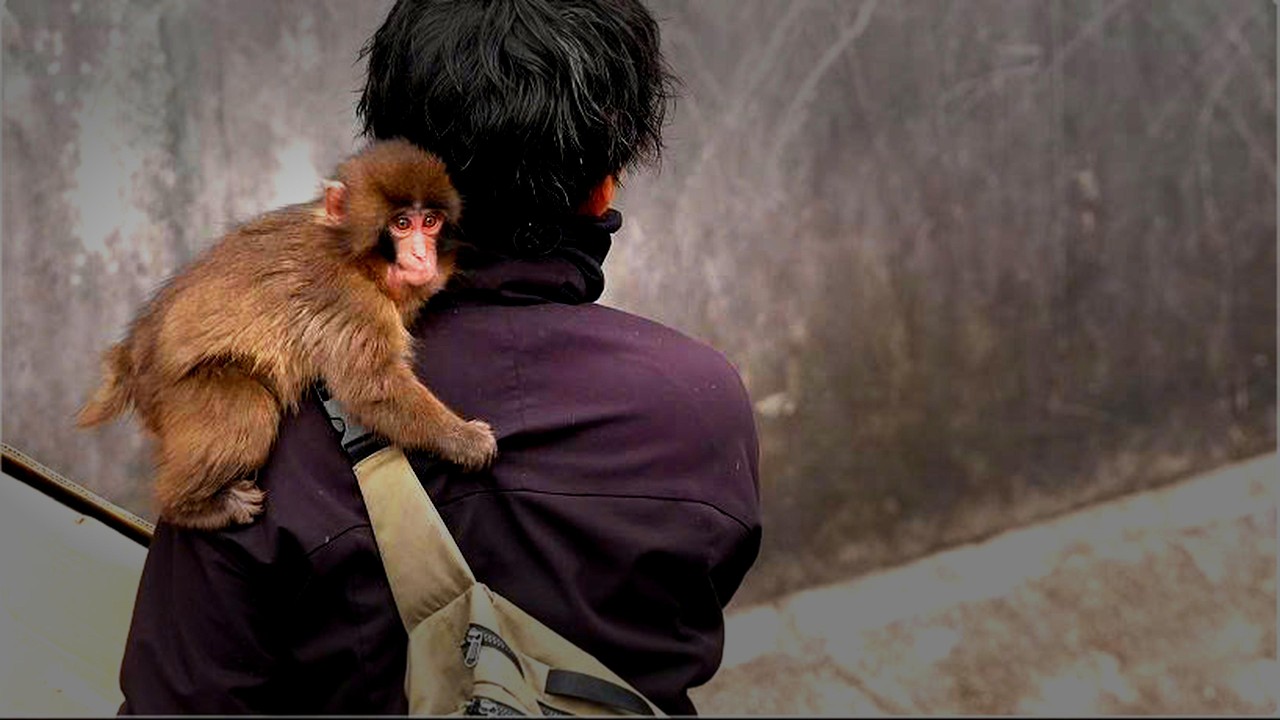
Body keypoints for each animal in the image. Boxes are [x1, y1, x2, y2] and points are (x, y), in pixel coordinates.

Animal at [77, 139, 498, 530]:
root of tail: (132, 361)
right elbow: (372, 387)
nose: (422, 256)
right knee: (249, 409)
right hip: (178, 391)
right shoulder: (351, 299)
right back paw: (194, 507)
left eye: (431, 221)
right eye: (402, 224)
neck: (356, 258)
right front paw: (463, 440)